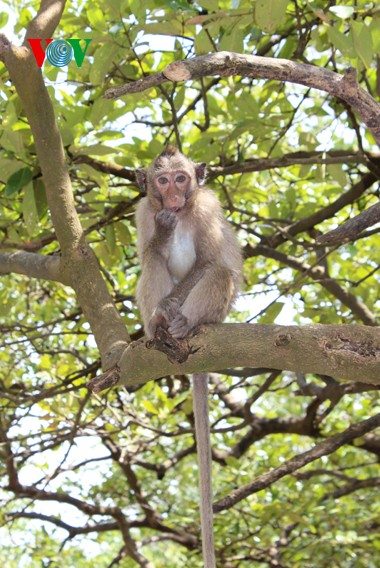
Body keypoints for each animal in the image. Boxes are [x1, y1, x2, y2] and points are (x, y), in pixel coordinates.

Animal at [135, 144, 242, 564]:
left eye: (182, 179)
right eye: (162, 181)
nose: (175, 196)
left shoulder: (207, 209)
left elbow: (210, 261)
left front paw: (171, 310)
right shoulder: (143, 212)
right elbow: (150, 251)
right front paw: (164, 231)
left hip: (217, 313)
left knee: (220, 274)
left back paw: (184, 324)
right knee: (152, 262)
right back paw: (156, 330)